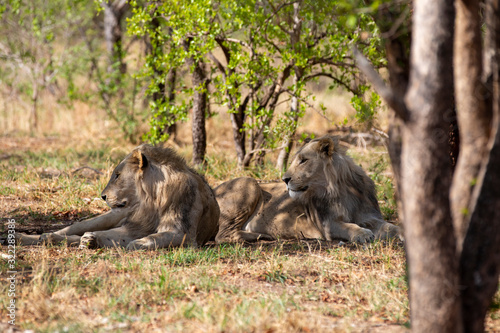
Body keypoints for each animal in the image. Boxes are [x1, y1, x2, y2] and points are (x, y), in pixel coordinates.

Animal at [17, 144, 219, 248]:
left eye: (117, 175)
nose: (103, 196)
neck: (152, 200)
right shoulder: (135, 227)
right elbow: (114, 235)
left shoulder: (182, 232)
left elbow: (153, 238)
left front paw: (136, 244)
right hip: (105, 218)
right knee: (70, 229)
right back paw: (36, 237)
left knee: (75, 236)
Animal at [215, 135, 398, 244]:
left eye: (303, 160)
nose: (284, 179)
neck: (340, 190)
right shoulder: (328, 225)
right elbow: (350, 227)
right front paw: (364, 234)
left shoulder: (369, 216)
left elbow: (390, 227)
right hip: (250, 182)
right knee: (222, 236)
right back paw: (261, 236)